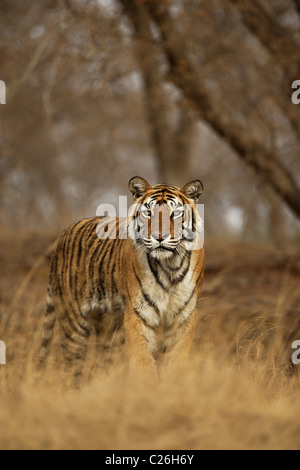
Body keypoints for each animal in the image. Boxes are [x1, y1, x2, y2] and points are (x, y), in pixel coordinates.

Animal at [38, 177, 205, 386]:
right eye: (148, 213)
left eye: (175, 214)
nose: (159, 237)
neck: (170, 266)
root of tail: (63, 234)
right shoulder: (139, 315)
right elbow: (144, 363)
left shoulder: (184, 317)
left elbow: (176, 361)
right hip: (73, 320)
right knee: (71, 368)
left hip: (110, 329)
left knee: (100, 366)